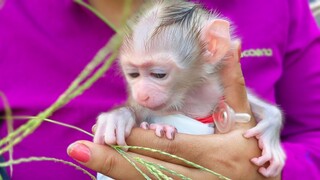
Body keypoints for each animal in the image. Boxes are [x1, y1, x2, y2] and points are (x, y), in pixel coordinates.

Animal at [94, 0, 286, 177]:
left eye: (158, 74)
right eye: (134, 74)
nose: (142, 95)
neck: (189, 94)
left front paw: (271, 125)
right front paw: (119, 117)